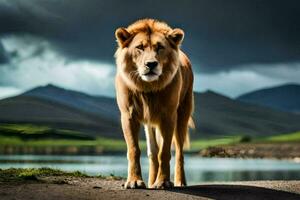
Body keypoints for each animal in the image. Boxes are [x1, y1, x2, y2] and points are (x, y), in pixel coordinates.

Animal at [113, 19, 193, 189]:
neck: (147, 88)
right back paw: (150, 181)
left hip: (183, 114)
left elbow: (165, 152)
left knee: (179, 151)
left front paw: (163, 182)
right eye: (139, 47)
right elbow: (134, 149)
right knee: (153, 152)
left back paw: (180, 182)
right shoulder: (128, 115)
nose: (151, 64)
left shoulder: (168, 116)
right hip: (149, 124)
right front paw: (134, 181)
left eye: (160, 47)